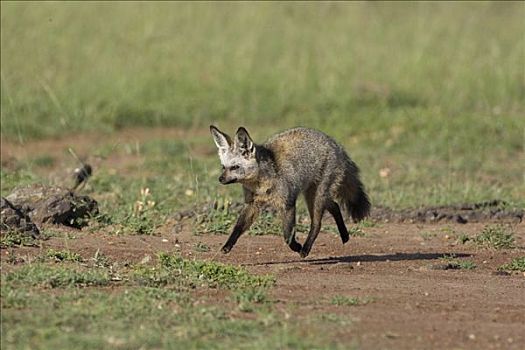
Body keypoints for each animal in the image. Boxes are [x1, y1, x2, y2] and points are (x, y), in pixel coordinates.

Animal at [209, 125, 368, 258]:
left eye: (235, 167)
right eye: (223, 167)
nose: (220, 179)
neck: (261, 185)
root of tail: (335, 144)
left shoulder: (288, 203)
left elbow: (287, 235)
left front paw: (297, 247)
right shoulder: (252, 205)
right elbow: (237, 228)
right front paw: (227, 246)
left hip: (316, 196)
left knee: (317, 224)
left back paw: (306, 249)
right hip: (314, 195)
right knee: (334, 205)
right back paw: (345, 236)